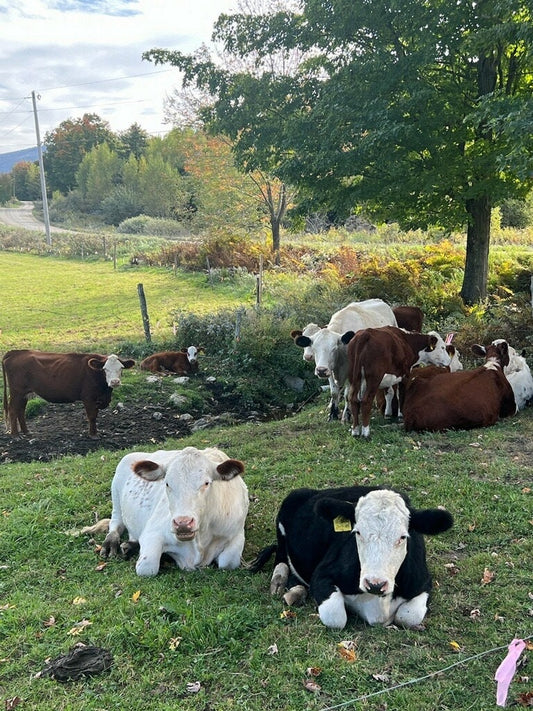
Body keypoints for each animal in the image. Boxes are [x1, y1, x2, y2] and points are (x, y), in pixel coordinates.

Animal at [2, 350, 135, 438]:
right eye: (105, 369)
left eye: (121, 368)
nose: (115, 382)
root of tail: (17, 352)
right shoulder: (88, 397)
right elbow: (92, 416)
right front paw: (93, 434)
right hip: (17, 391)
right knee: (13, 410)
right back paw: (15, 434)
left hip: (24, 393)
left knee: (20, 410)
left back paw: (26, 432)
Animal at [91, 446, 248, 576]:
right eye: (167, 483)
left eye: (206, 483)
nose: (183, 523)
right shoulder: (152, 532)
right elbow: (147, 567)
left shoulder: (236, 533)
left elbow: (228, 562)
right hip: (116, 495)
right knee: (115, 523)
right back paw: (111, 543)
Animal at [250, 485, 453, 629]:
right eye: (357, 532)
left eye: (403, 537)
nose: (375, 584)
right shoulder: (322, 574)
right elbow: (336, 617)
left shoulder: (424, 581)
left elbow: (408, 617)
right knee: (281, 557)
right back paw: (279, 582)